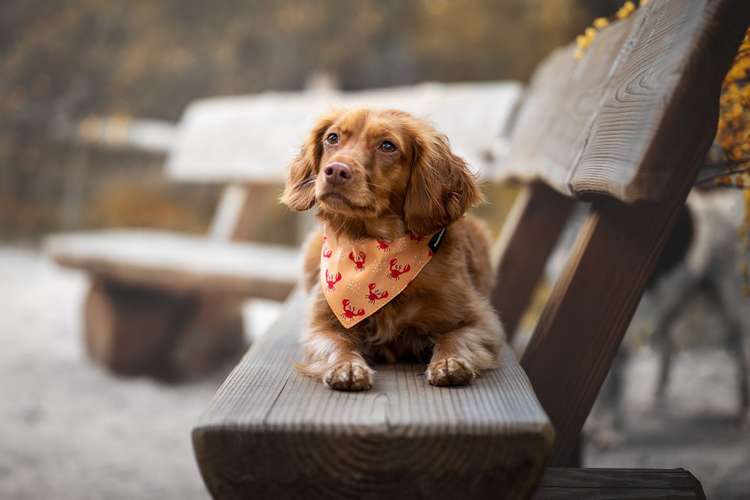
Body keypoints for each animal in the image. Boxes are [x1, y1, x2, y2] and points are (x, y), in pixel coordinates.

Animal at [280, 108, 506, 390]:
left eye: (387, 146)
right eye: (332, 138)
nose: (335, 171)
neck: (371, 247)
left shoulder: (480, 319)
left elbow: (455, 338)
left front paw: (449, 362)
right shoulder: (322, 322)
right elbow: (337, 343)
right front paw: (347, 367)